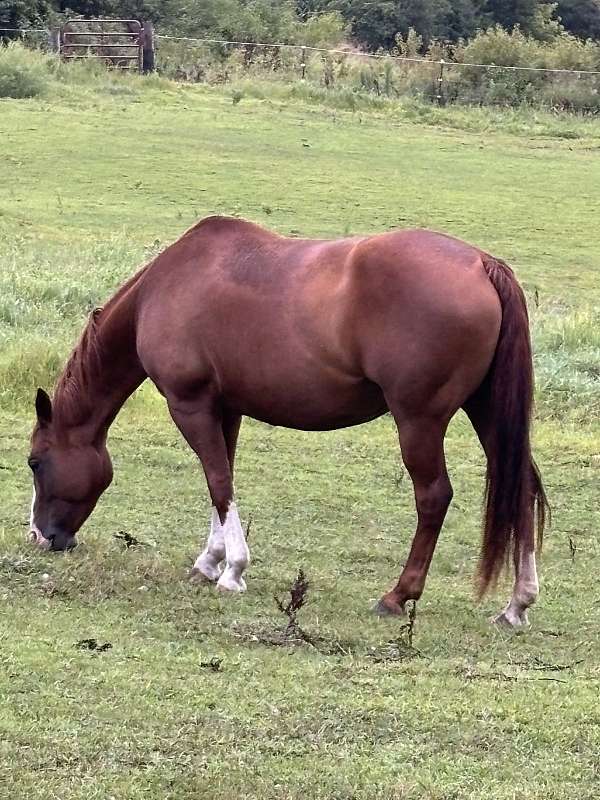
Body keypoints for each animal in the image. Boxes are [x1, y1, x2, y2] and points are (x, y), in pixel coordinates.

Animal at [28, 216, 547, 627]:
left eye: (35, 462)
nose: (39, 536)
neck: (166, 286)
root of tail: (481, 263)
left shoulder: (189, 405)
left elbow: (218, 482)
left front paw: (232, 571)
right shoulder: (224, 408)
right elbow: (221, 484)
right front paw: (210, 561)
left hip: (419, 422)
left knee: (434, 497)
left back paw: (398, 595)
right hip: (487, 412)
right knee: (521, 488)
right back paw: (517, 604)